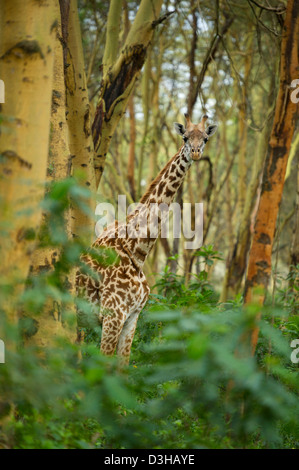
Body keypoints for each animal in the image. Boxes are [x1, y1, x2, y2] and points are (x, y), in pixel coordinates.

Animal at [76, 113, 219, 364]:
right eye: (184, 137)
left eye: (205, 138)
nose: (195, 153)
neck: (137, 250)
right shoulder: (112, 315)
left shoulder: (132, 317)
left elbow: (122, 365)